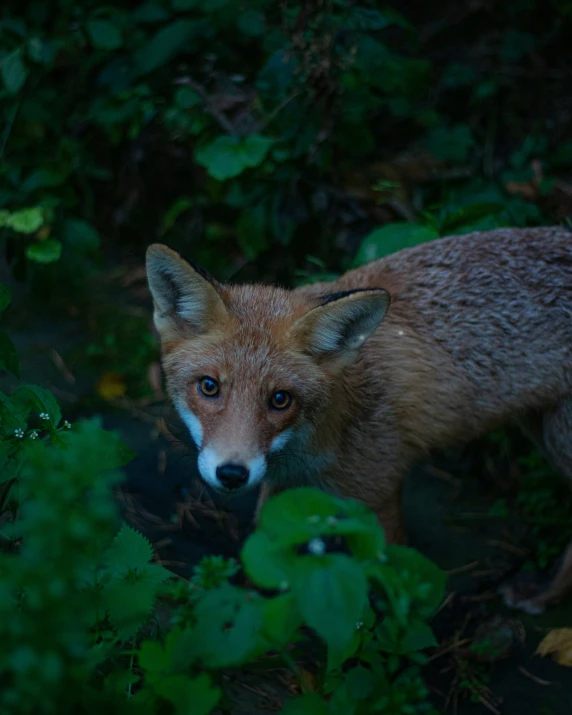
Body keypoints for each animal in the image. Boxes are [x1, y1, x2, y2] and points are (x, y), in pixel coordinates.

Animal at [146, 228, 572, 616]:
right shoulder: (284, 493)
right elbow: (264, 562)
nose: (232, 473)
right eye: (209, 387)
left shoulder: (380, 492)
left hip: (557, 441)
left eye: (280, 399)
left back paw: (543, 594)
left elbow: (394, 587)